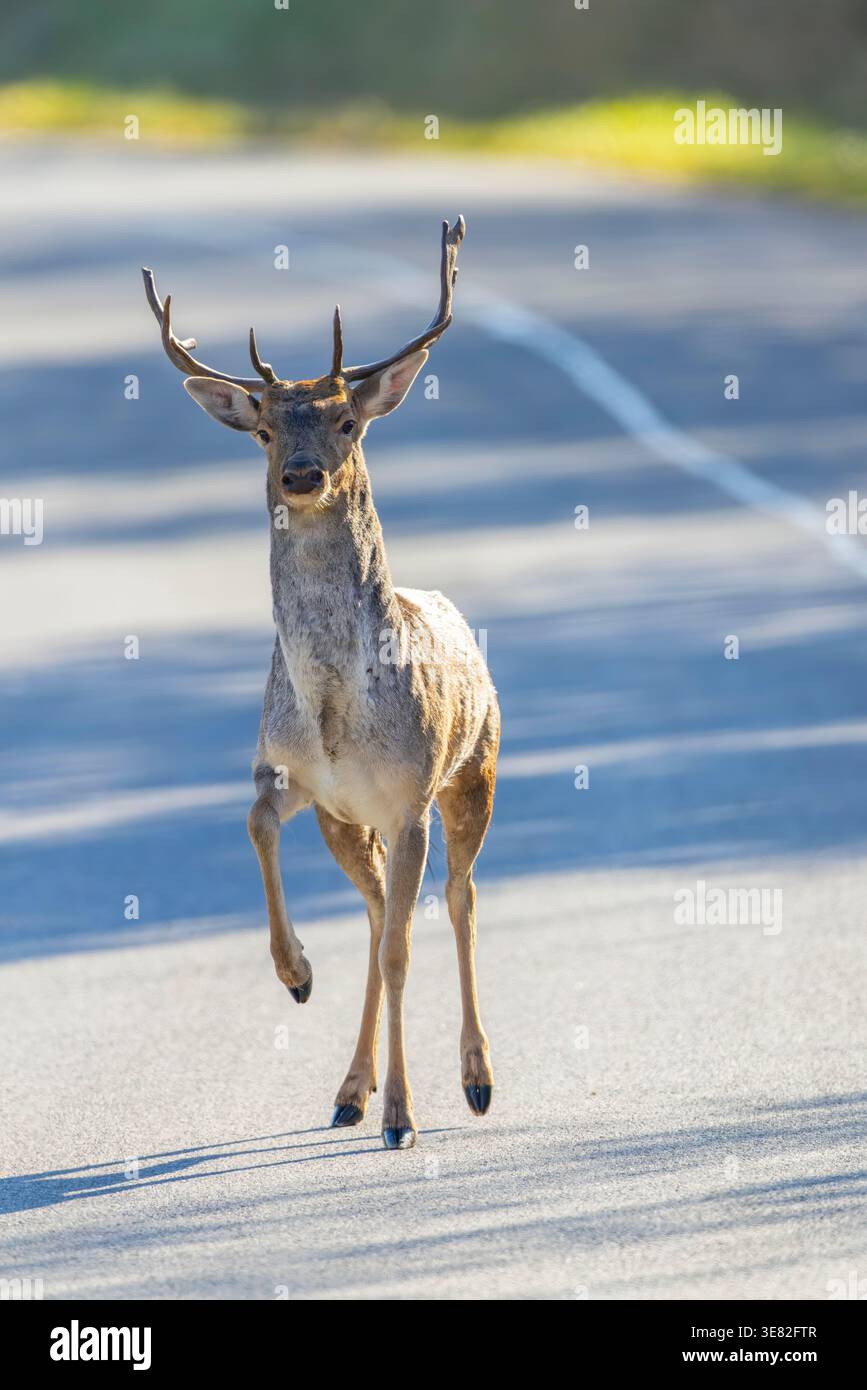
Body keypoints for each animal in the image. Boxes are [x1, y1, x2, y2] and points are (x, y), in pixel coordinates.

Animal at [141, 218, 499, 1149]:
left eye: (345, 420)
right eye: (264, 430)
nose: (301, 474)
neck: (337, 711)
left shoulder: (409, 795)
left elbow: (406, 949)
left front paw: (406, 1116)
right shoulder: (298, 775)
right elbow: (256, 823)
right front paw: (294, 972)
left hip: (473, 773)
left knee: (456, 899)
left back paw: (473, 1081)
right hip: (351, 825)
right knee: (376, 914)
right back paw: (348, 1090)